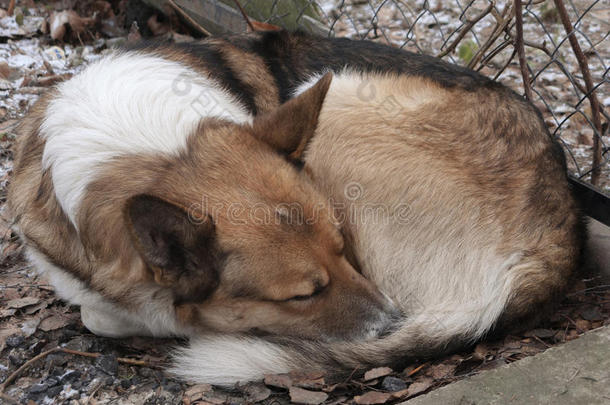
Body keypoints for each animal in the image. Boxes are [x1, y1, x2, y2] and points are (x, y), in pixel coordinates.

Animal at [7, 30, 580, 386]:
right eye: (304, 294)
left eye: (345, 249)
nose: (388, 322)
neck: (146, 145)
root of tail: (558, 233)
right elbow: (98, 309)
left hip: (343, 90)